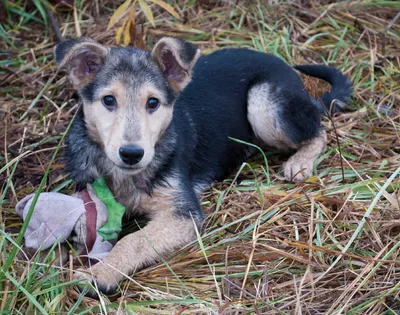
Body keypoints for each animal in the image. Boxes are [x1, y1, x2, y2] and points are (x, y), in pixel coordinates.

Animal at [54, 37, 352, 296]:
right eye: (108, 100)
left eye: (153, 103)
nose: (131, 154)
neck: (126, 176)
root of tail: (287, 69)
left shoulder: (184, 214)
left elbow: (134, 240)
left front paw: (100, 275)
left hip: (264, 104)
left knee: (320, 131)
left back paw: (299, 162)